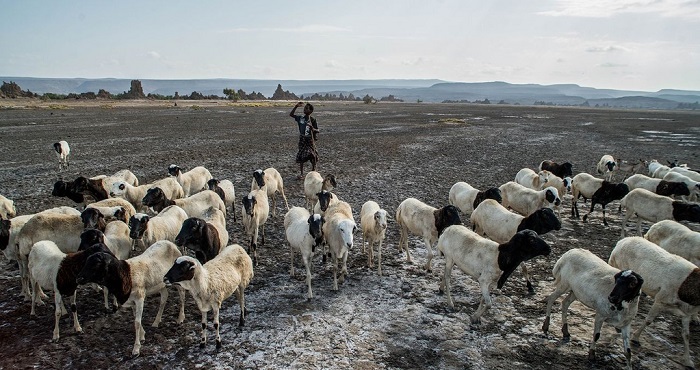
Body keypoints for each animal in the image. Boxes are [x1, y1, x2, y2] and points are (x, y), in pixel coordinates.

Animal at [608, 238, 700, 368]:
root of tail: (623, 240)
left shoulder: (686, 313)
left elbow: (686, 334)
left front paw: (688, 361)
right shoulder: (660, 300)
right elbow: (648, 320)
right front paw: (635, 338)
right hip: (614, 264)